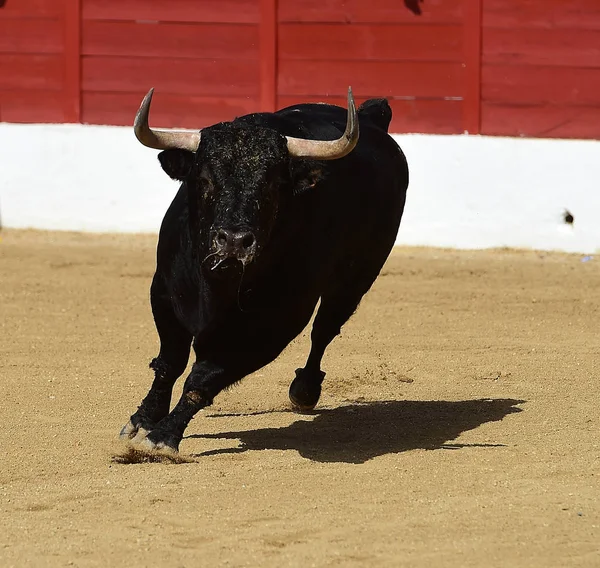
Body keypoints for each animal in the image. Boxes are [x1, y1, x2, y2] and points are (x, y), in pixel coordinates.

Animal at [120, 89, 412, 454]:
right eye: (204, 179)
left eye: (273, 185)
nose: (234, 241)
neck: (219, 284)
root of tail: (370, 118)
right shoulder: (164, 293)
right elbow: (169, 363)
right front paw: (142, 421)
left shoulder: (271, 327)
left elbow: (204, 376)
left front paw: (163, 437)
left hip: (355, 281)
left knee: (324, 330)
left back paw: (305, 390)